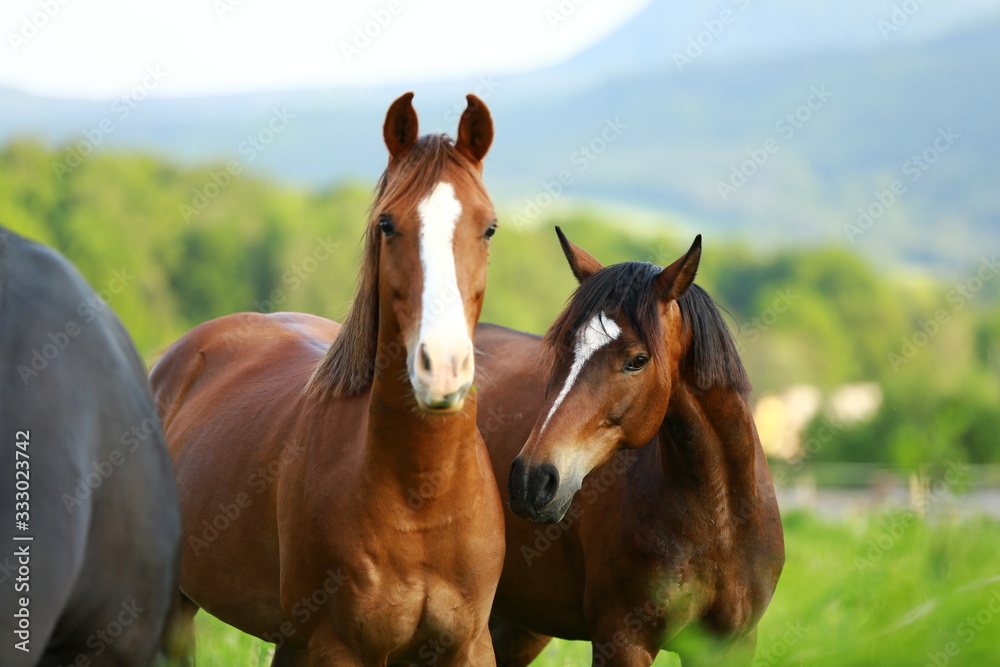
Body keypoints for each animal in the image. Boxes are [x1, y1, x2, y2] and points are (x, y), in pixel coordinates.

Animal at [150, 93, 505, 666]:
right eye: (387, 224)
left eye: (489, 226)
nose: (443, 366)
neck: (420, 497)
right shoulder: (338, 648)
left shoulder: (469, 646)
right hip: (177, 611)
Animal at [474, 229, 784, 666]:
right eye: (562, 350)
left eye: (637, 360)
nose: (531, 480)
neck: (720, 520)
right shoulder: (622, 641)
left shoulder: (730, 646)